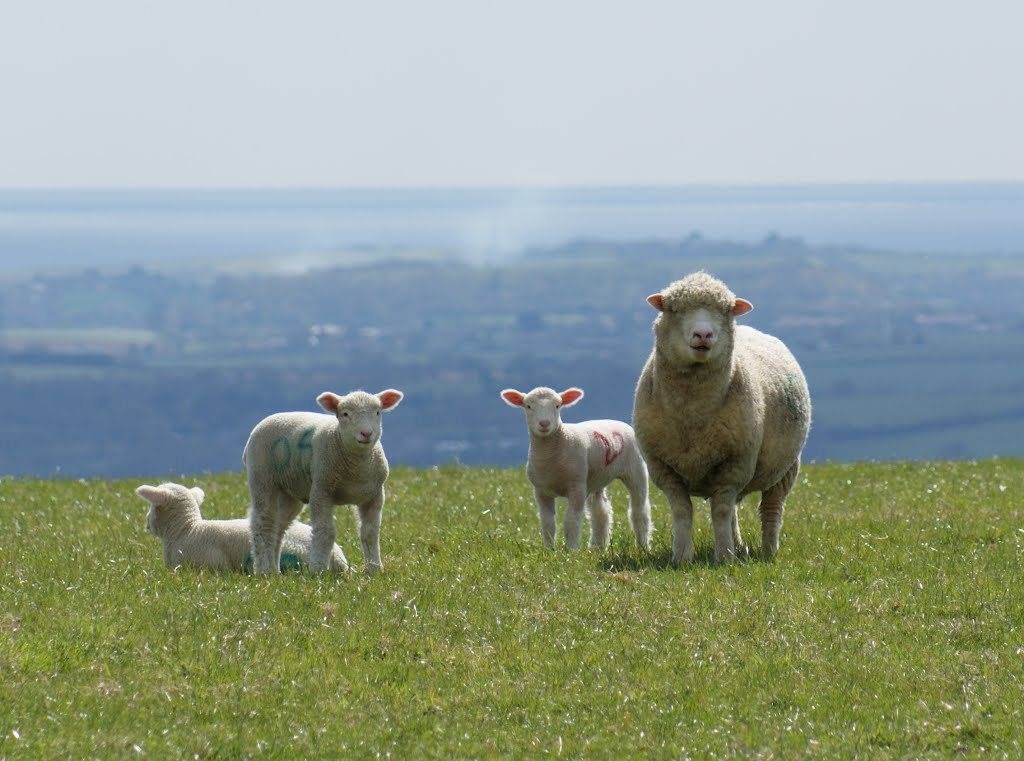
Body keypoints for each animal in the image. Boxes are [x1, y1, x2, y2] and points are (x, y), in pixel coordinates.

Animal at [243, 389, 403, 573]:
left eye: (377, 412)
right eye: (345, 414)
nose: (366, 434)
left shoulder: (374, 495)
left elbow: (370, 533)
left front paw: (374, 569)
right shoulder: (321, 490)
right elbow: (326, 532)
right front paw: (318, 569)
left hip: (290, 492)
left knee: (279, 527)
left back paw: (275, 570)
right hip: (263, 478)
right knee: (263, 523)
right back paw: (264, 570)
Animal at [499, 387, 651, 548]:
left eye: (557, 406)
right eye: (528, 406)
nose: (544, 423)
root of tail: (618, 422)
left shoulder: (577, 487)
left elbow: (571, 521)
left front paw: (571, 549)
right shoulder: (541, 492)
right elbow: (547, 524)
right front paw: (548, 549)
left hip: (635, 468)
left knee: (639, 511)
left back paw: (642, 545)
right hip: (597, 477)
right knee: (601, 511)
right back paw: (598, 548)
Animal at [630, 274, 806, 565]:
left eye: (726, 310)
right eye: (673, 309)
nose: (703, 334)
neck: (692, 413)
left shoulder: (736, 463)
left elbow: (720, 511)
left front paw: (724, 557)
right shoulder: (663, 468)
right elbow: (683, 511)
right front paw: (682, 557)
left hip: (785, 468)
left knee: (770, 508)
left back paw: (768, 550)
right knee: (734, 508)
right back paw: (739, 544)